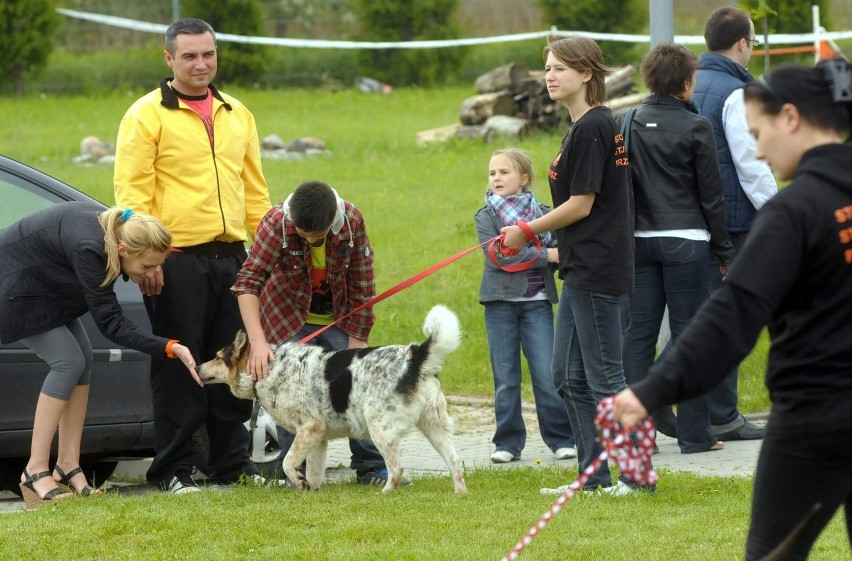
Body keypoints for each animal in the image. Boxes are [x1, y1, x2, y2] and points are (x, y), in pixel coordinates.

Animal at [197, 304, 470, 492]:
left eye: (218, 357)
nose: (198, 367)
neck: (268, 368)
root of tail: (414, 356)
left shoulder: (309, 428)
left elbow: (288, 462)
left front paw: (299, 482)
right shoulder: (318, 438)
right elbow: (314, 472)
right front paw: (310, 490)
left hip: (380, 429)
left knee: (397, 468)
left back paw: (385, 493)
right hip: (435, 427)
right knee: (455, 463)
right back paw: (460, 494)